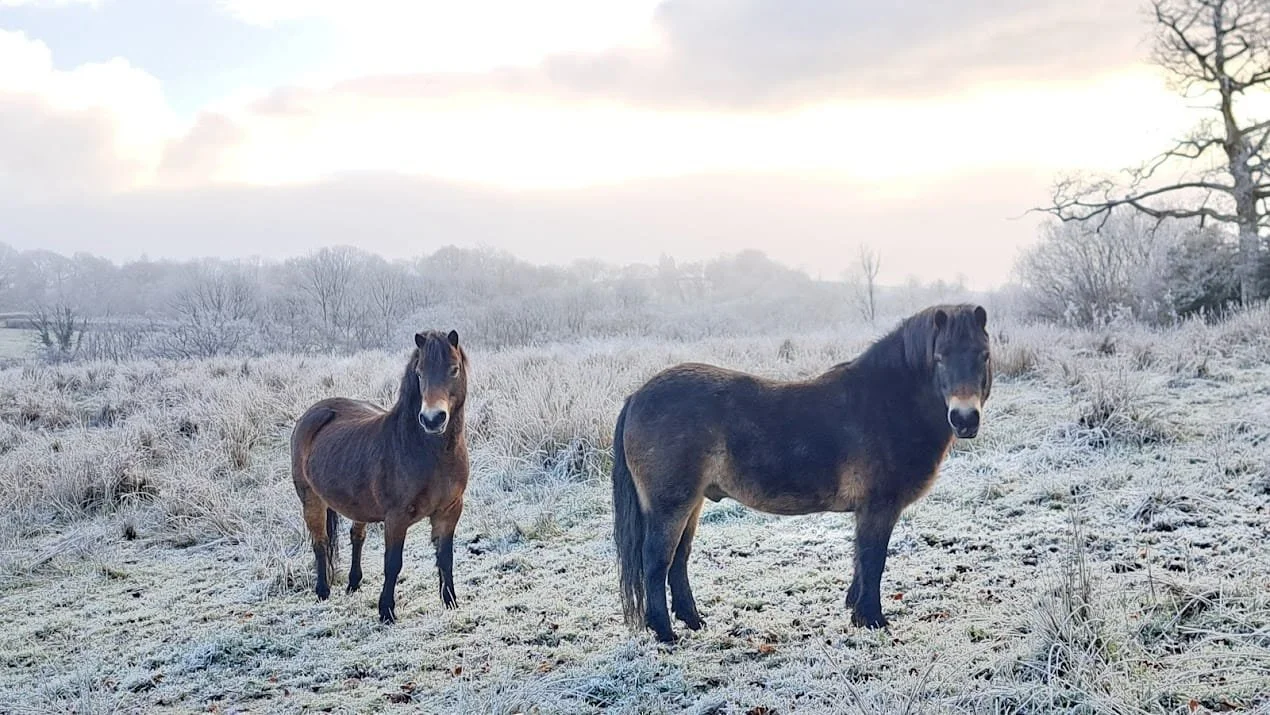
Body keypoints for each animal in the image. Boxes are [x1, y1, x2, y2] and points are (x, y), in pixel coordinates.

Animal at [290, 330, 470, 623]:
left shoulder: (450, 510)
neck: (428, 453)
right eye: (419, 373)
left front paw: (451, 601)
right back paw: (323, 591)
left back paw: (353, 584)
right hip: (311, 500)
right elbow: (393, 563)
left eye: (454, 369)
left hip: (356, 505)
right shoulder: (396, 518)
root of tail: (314, 412)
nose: (433, 419)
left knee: (356, 536)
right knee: (320, 543)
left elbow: (446, 557)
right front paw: (386, 611)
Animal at [611, 305, 993, 642]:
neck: (886, 403)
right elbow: (873, 560)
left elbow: (860, 559)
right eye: (940, 357)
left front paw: (855, 609)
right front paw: (872, 619)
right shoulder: (879, 507)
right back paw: (665, 633)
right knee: (656, 561)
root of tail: (637, 396)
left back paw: (693, 621)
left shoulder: (867, 511)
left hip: (692, 503)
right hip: (670, 506)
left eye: (983, 355)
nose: (964, 419)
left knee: (679, 559)